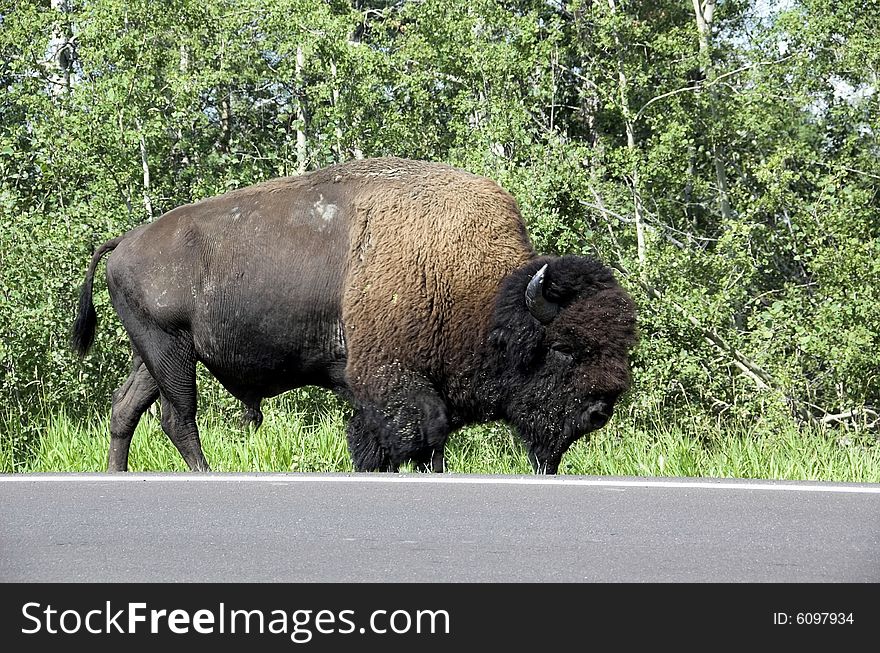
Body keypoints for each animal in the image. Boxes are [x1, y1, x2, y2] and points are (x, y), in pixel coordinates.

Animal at [72, 158, 636, 474]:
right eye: (563, 348)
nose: (599, 410)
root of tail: (124, 241)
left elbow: (420, 442)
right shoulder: (392, 381)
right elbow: (415, 436)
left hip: (154, 353)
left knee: (126, 409)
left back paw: (117, 474)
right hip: (168, 348)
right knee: (178, 416)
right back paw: (203, 472)